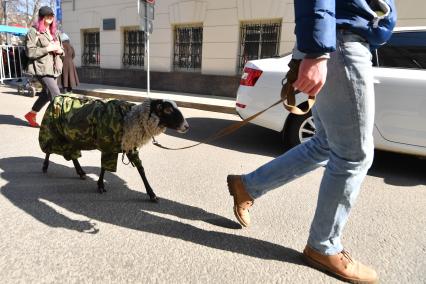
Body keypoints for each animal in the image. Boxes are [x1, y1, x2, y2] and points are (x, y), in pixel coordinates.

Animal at [38, 95, 188, 202]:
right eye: (167, 109)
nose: (186, 126)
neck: (129, 118)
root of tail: (56, 97)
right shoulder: (108, 144)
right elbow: (104, 167)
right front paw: (100, 186)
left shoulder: (129, 145)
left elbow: (141, 170)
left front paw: (152, 194)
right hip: (54, 131)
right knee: (49, 148)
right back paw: (45, 166)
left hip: (70, 137)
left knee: (72, 154)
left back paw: (80, 172)